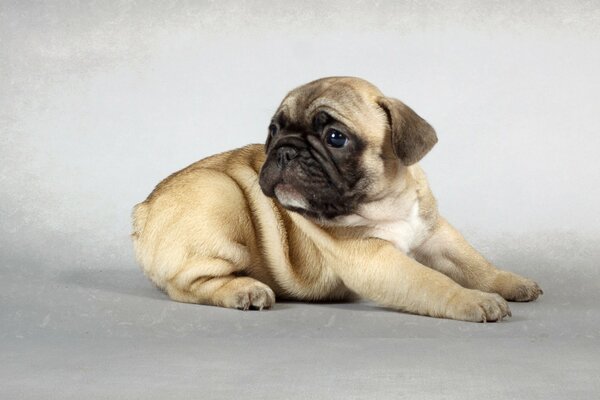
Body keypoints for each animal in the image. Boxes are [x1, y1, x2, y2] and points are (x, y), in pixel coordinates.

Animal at [132, 76, 544, 324]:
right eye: (274, 130)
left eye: (335, 137)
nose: (284, 150)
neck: (385, 199)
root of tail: (142, 212)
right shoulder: (374, 258)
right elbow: (431, 281)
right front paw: (473, 301)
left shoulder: (435, 233)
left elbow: (473, 262)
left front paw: (508, 283)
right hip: (219, 192)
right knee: (186, 285)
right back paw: (244, 290)